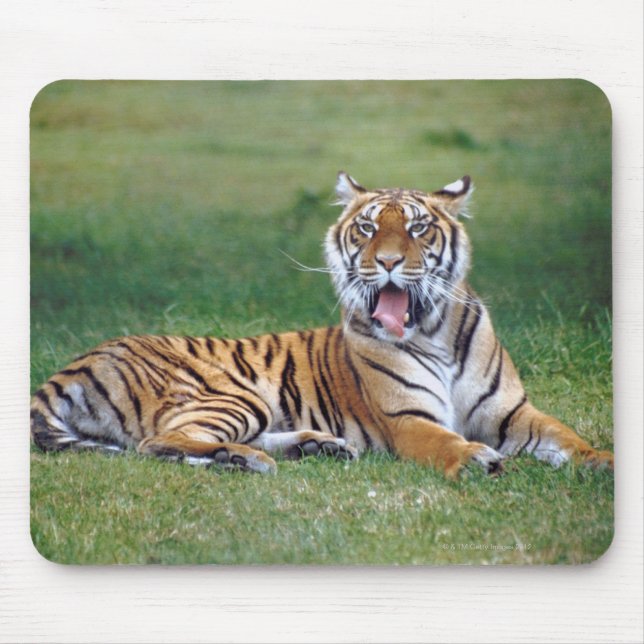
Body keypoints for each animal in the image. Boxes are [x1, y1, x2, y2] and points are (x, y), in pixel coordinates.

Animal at [30, 172, 614, 478]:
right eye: (368, 228)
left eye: (418, 228)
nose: (387, 262)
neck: (435, 331)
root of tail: (69, 368)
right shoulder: (409, 419)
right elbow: (446, 442)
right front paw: (474, 458)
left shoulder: (515, 413)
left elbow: (567, 437)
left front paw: (602, 460)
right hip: (234, 394)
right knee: (161, 442)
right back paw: (242, 458)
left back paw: (317, 446)